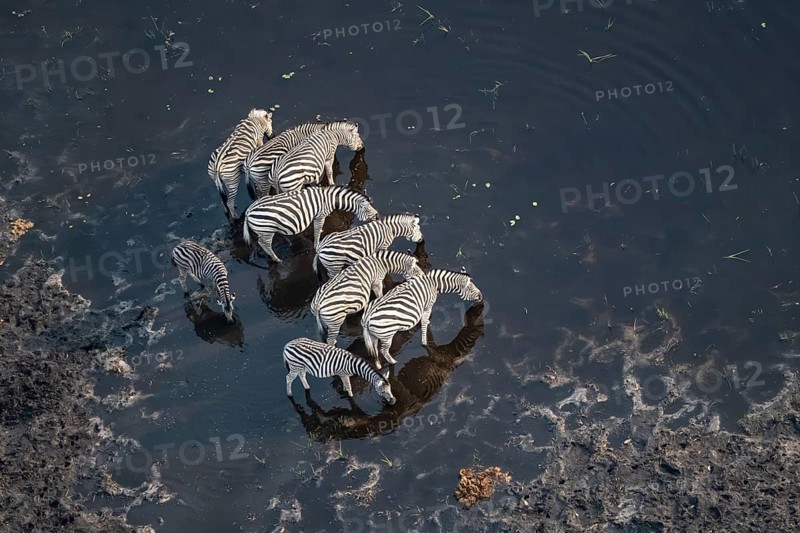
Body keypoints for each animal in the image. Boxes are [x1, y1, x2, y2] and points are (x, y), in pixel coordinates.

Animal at [242, 185, 379, 264]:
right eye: (368, 209)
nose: (378, 216)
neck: (330, 199)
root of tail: (248, 212)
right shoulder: (320, 215)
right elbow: (317, 230)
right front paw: (317, 245)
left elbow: (318, 229)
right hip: (266, 230)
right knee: (264, 244)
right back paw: (277, 260)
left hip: (267, 230)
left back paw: (287, 242)